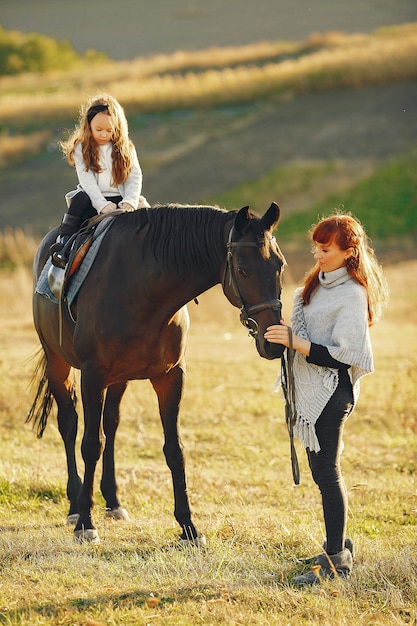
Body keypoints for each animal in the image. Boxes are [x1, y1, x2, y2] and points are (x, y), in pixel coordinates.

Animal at [28, 201, 286, 540]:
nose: (274, 343)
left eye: (279, 266)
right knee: (70, 425)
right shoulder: (93, 376)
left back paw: (113, 501)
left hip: (119, 379)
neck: (142, 288)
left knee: (111, 425)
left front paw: (188, 526)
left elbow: (174, 449)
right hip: (58, 362)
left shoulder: (170, 376)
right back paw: (74, 506)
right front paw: (86, 522)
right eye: (243, 270)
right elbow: (90, 445)